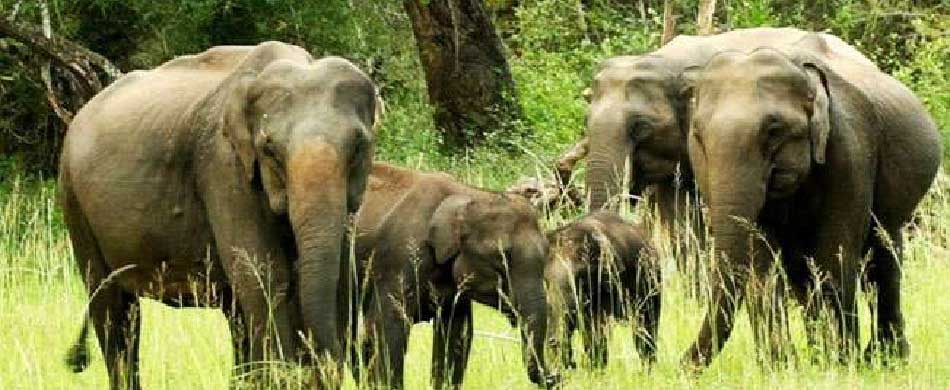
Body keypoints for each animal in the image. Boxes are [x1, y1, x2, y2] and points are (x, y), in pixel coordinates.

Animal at [57, 41, 380, 388]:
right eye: (269, 150)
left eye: (359, 146)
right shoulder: (223, 168)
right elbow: (263, 275)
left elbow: (338, 272)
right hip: (74, 202)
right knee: (114, 309)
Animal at [348, 163, 556, 388]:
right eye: (501, 257)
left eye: (547, 253)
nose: (556, 375)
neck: (469, 194)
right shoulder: (399, 259)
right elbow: (386, 328)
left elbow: (457, 334)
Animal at [544, 212, 660, 370]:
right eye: (546, 279)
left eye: (581, 276)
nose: (572, 365)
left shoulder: (607, 283)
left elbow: (596, 329)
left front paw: (595, 369)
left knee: (644, 329)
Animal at [680, 42, 940, 368]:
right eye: (698, 135)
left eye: (774, 130)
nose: (679, 364)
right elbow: (761, 265)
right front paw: (781, 367)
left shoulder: (849, 151)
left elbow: (833, 256)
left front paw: (841, 364)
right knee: (804, 270)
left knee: (882, 258)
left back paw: (884, 360)